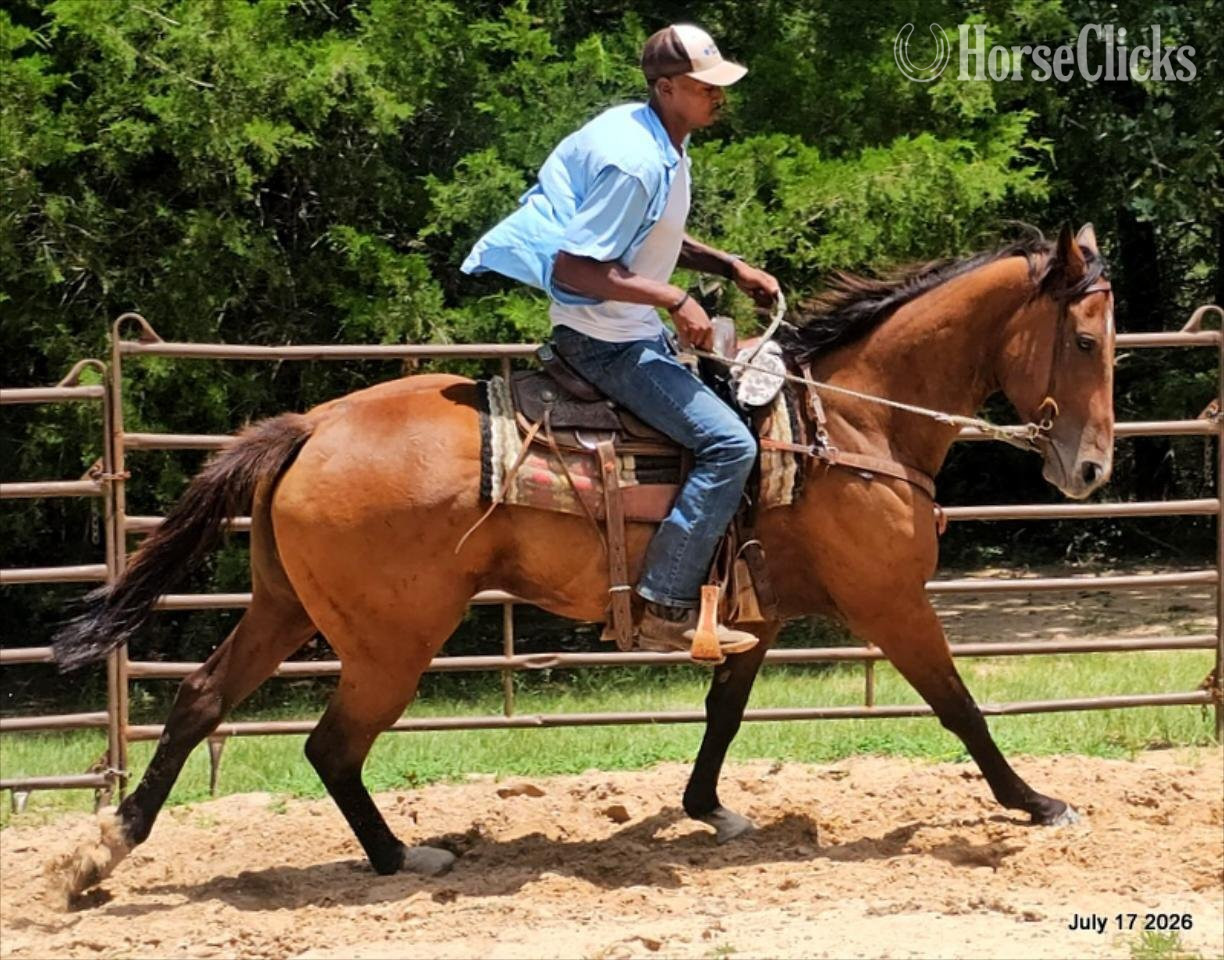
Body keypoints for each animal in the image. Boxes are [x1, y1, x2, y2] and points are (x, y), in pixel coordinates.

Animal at [47, 223, 1114, 903]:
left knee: (202, 702)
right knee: (330, 746)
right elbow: (961, 705)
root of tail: (311, 425)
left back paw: (105, 852)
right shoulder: (892, 603)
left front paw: (708, 811)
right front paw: (1038, 804)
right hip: (391, 642)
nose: (1092, 468)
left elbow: (724, 712)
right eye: (1086, 337)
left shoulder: (759, 616)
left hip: (284, 608)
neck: (847, 424)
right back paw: (403, 861)